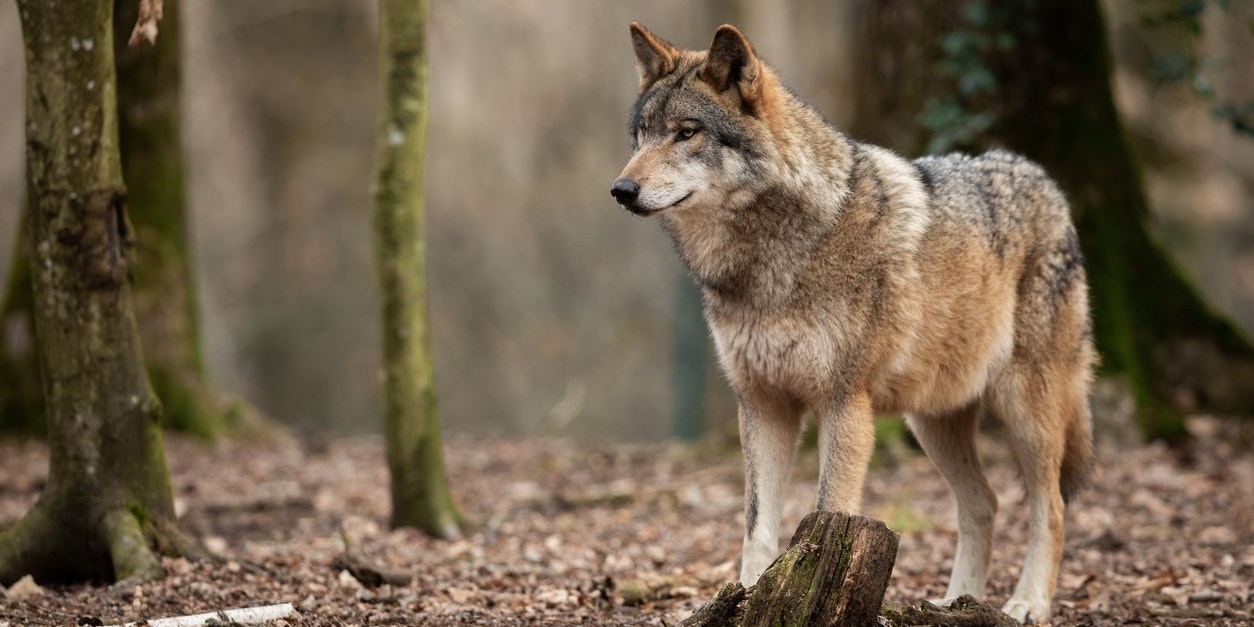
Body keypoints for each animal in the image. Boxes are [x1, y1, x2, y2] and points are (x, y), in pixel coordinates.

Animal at [609, 23, 1095, 623]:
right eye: (642, 135)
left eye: (686, 133)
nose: (621, 190)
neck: (768, 262)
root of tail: (1044, 179)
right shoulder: (762, 404)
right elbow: (757, 527)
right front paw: (748, 596)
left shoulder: (844, 404)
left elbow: (827, 512)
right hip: (932, 422)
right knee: (984, 502)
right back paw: (957, 601)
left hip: (1026, 411)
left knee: (1051, 508)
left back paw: (1027, 603)